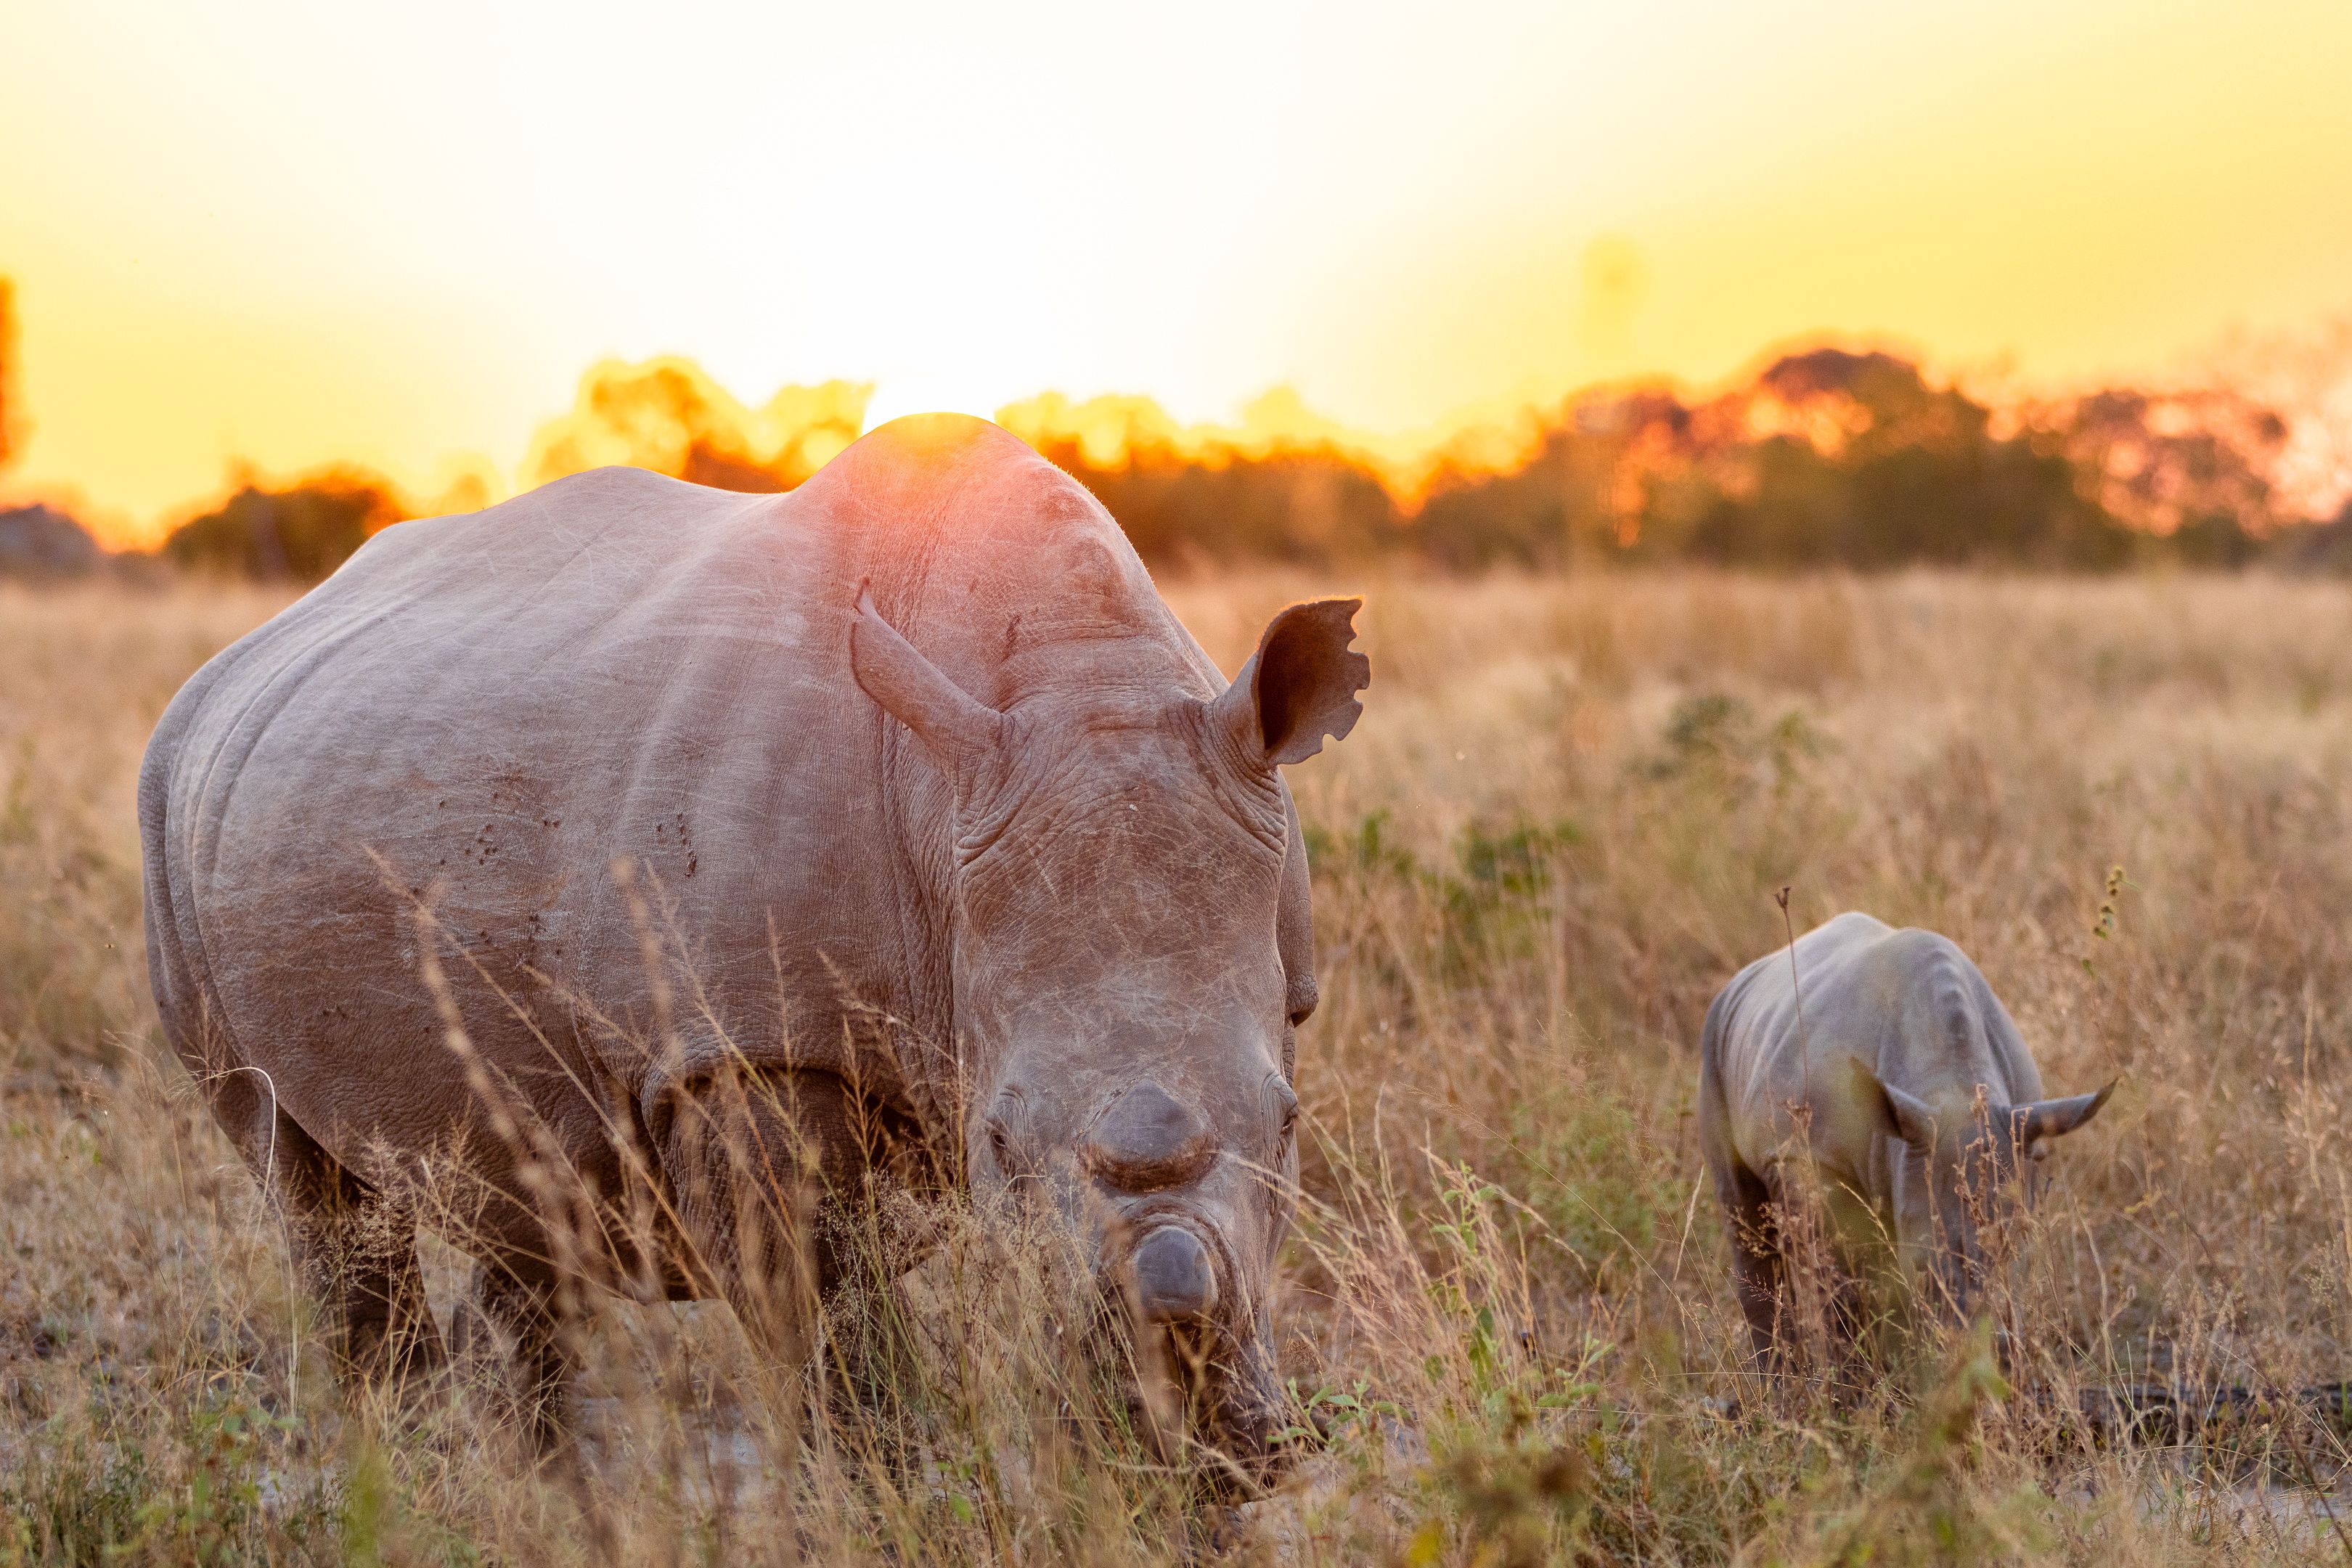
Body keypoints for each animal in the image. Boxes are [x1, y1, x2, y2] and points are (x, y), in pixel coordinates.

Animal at [138, 414, 1368, 1466]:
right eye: (998, 1146)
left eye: (1292, 1125)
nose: (1180, 1398)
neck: (1077, 667)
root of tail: (238, 656)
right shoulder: (741, 1048)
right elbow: (839, 1351)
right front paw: (900, 1497)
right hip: (169, 810)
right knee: (312, 1197)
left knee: (527, 1218)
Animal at [1697, 912, 2112, 1359]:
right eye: (1919, 1266)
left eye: (2025, 1256)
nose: (1989, 1355)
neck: (1949, 1081)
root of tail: (1746, 977)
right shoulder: (1808, 1157)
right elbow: (1837, 1286)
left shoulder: (2023, 1137)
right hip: (1717, 1046)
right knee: (1747, 1219)